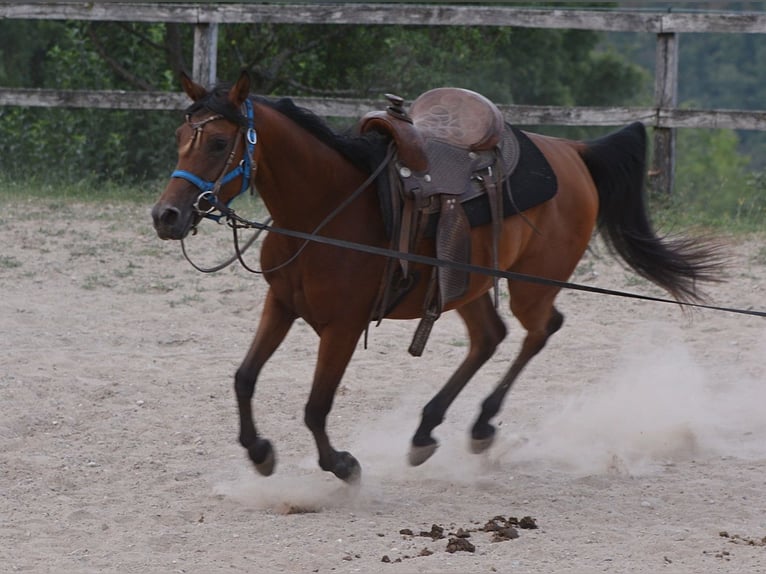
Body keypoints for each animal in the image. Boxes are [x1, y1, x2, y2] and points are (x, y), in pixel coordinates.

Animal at [152, 73, 728, 486]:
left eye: (218, 141)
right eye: (180, 136)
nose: (166, 216)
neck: (326, 211)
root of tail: (573, 152)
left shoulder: (342, 327)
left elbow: (316, 407)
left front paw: (343, 465)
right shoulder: (281, 305)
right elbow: (244, 378)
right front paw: (260, 452)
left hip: (532, 284)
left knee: (539, 330)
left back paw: (480, 426)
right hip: (466, 285)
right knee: (490, 337)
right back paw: (426, 431)